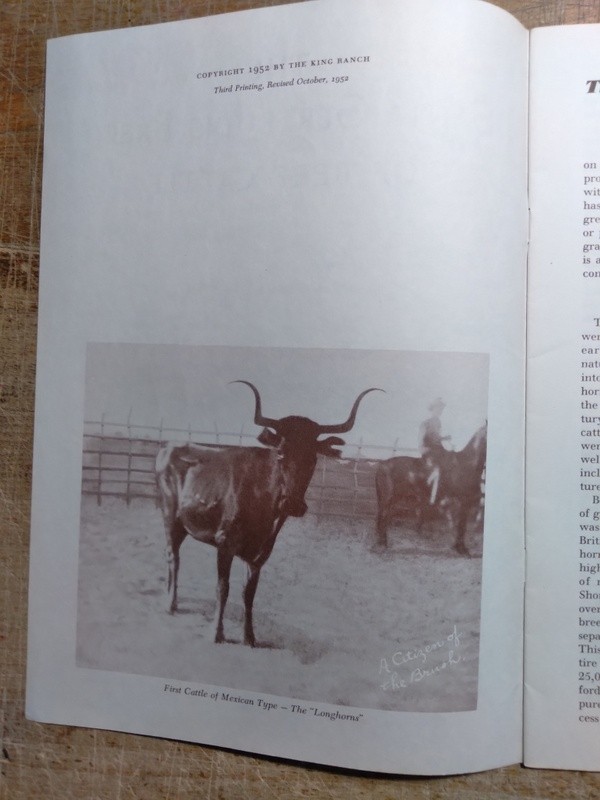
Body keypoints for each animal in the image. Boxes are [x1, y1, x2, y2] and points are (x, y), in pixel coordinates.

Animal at [155, 381, 381, 646]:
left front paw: (249, 637)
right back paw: (170, 604)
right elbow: (223, 588)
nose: (292, 504)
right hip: (169, 516)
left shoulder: (262, 552)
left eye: (313, 457)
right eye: (281, 453)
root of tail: (170, 447)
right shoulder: (225, 542)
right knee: (173, 557)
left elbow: (249, 593)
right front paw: (217, 633)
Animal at [374, 422, 487, 557]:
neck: (466, 464)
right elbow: (461, 526)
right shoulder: (463, 503)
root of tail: (382, 465)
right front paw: (462, 549)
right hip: (387, 499)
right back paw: (382, 546)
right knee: (383, 517)